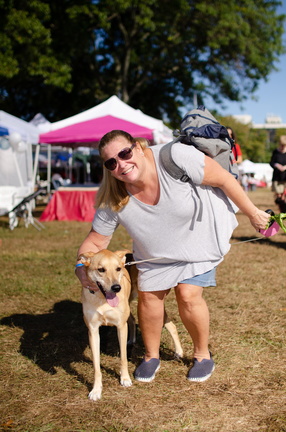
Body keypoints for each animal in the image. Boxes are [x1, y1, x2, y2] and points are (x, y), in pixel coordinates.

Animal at [78, 250, 183, 402]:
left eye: (118, 269)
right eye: (101, 269)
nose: (117, 288)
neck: (102, 300)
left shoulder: (120, 327)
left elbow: (123, 358)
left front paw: (125, 379)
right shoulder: (93, 331)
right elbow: (96, 366)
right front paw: (96, 390)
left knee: (172, 326)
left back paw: (179, 352)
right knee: (132, 320)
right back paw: (132, 339)